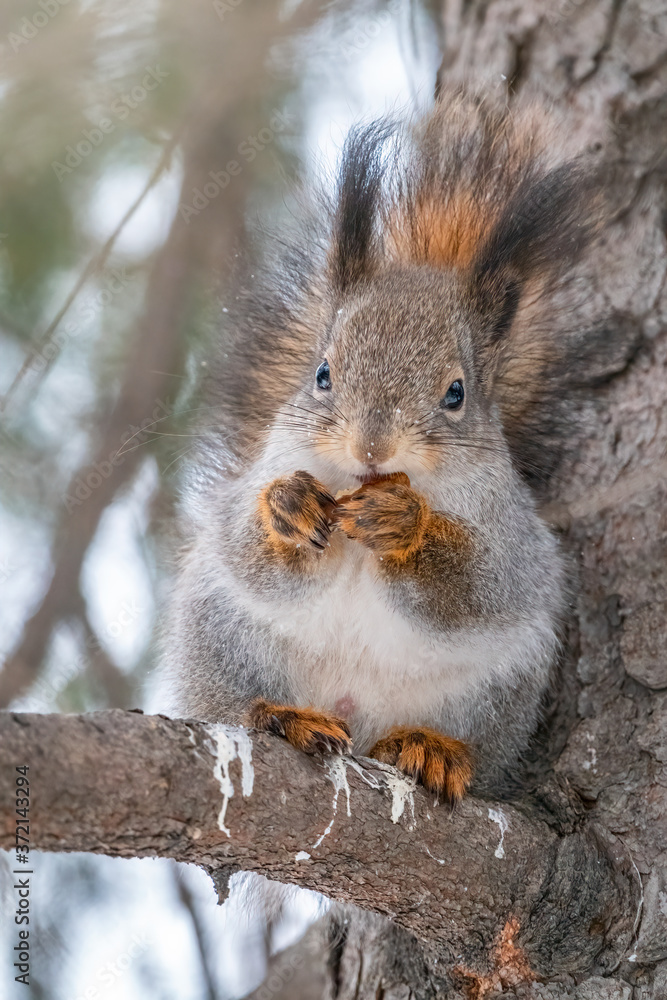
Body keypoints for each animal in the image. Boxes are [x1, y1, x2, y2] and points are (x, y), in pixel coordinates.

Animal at [161, 90, 604, 803]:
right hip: (220, 636)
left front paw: (406, 524)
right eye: (322, 374)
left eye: (456, 393)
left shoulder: (511, 533)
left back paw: (430, 748)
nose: (372, 448)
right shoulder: (253, 489)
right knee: (237, 706)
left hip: (499, 691)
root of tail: (354, 715)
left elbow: (478, 588)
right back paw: (286, 717)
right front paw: (288, 507)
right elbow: (249, 547)